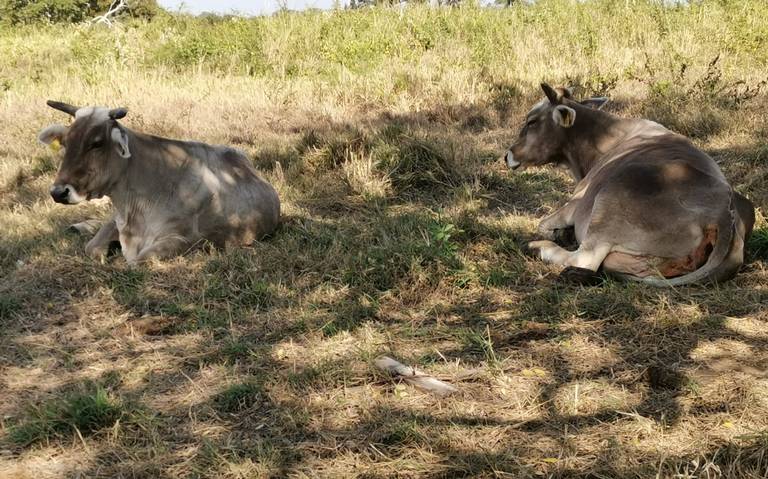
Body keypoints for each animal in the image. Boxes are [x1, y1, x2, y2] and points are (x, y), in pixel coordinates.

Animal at [37, 102, 280, 266]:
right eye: (66, 142)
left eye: (96, 143)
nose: (58, 192)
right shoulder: (117, 221)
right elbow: (91, 247)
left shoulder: (183, 239)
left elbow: (137, 261)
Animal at [504, 83, 756, 286]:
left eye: (531, 121)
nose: (508, 155)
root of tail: (723, 212)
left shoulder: (575, 202)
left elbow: (543, 223)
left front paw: (556, 234)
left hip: (607, 203)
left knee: (583, 260)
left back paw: (537, 247)